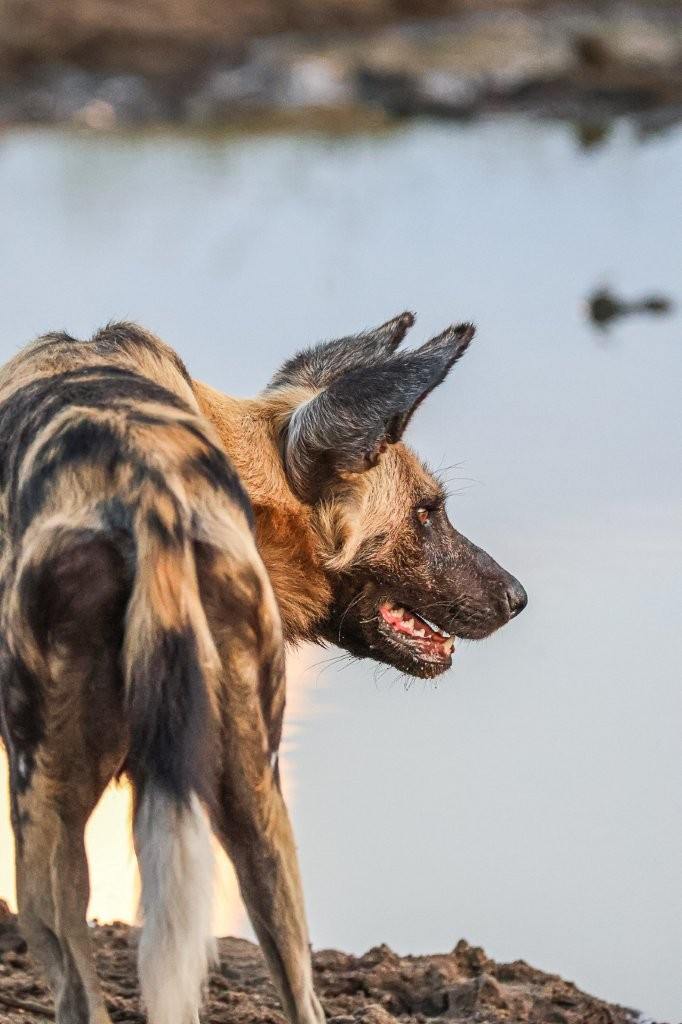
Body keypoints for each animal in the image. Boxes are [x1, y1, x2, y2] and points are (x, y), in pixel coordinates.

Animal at [0, 312, 525, 1024]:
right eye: (427, 511)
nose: (517, 598)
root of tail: (149, 495)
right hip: (255, 800)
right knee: (292, 986)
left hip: (42, 810)